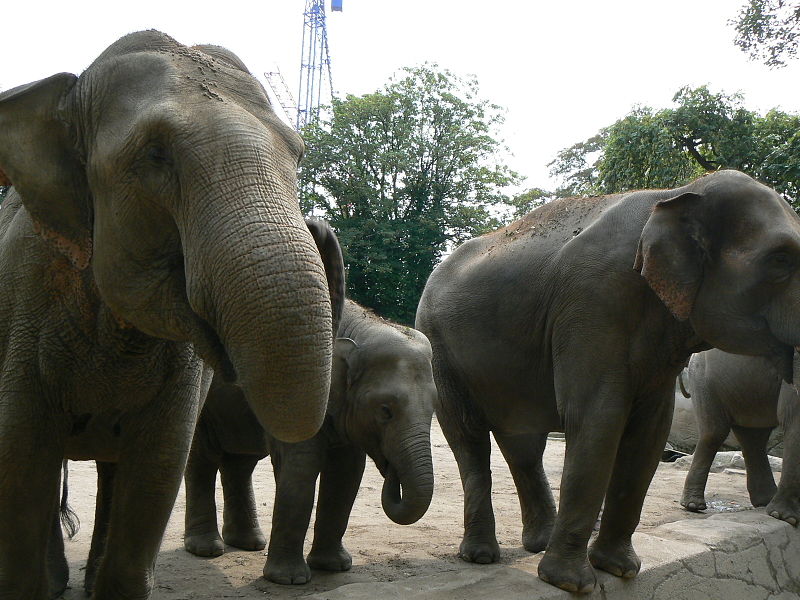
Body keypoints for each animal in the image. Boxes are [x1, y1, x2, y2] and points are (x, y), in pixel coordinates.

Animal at [0, 31, 340, 600]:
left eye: (297, 152)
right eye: (155, 155)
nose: (321, 228)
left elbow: (159, 463)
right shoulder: (24, 295)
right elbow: (22, 455)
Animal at [180, 298, 434, 584]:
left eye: (435, 408)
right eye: (385, 410)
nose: (390, 468)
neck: (361, 327)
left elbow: (346, 474)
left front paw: (334, 566)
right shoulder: (296, 394)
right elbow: (301, 469)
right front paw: (288, 579)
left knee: (241, 463)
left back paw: (249, 543)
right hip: (202, 406)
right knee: (203, 461)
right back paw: (206, 549)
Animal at [680, 346, 800, 524]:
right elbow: (794, 419)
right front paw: (786, 518)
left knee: (754, 436)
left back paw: (765, 501)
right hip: (704, 379)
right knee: (715, 432)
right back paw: (693, 505)